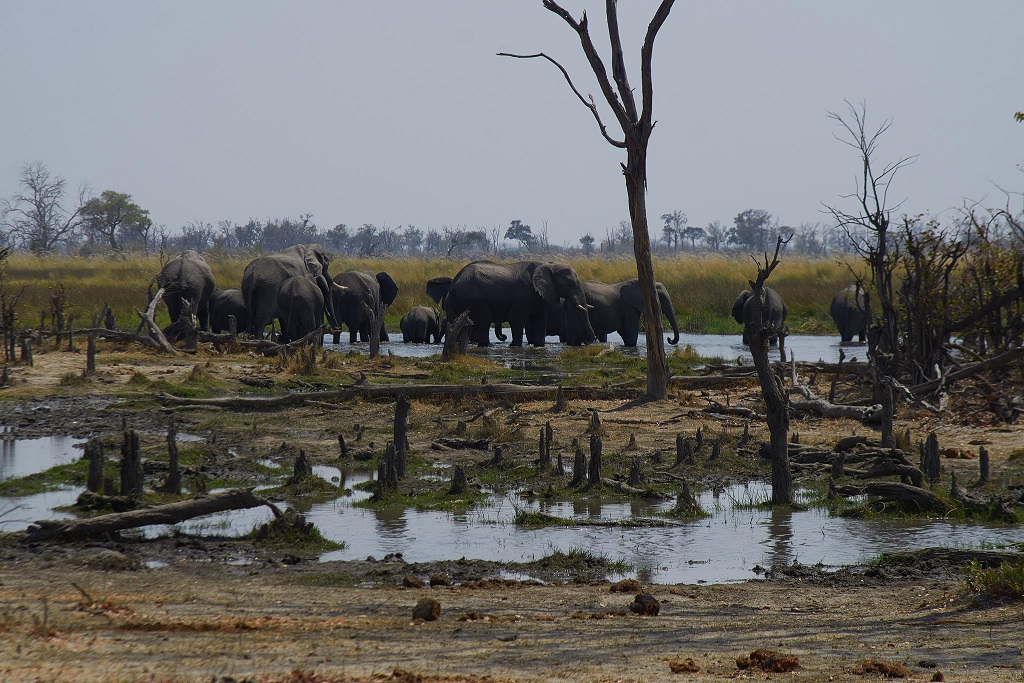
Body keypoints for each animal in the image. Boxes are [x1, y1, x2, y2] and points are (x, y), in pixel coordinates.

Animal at [425, 260, 598, 350]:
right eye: (569, 284)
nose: (588, 342)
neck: (549, 265)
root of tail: (454, 282)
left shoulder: (540, 295)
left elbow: (540, 320)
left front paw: (539, 346)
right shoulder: (523, 295)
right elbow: (516, 318)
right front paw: (515, 346)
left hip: (455, 301)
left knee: (454, 321)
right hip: (473, 296)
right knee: (485, 318)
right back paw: (485, 345)